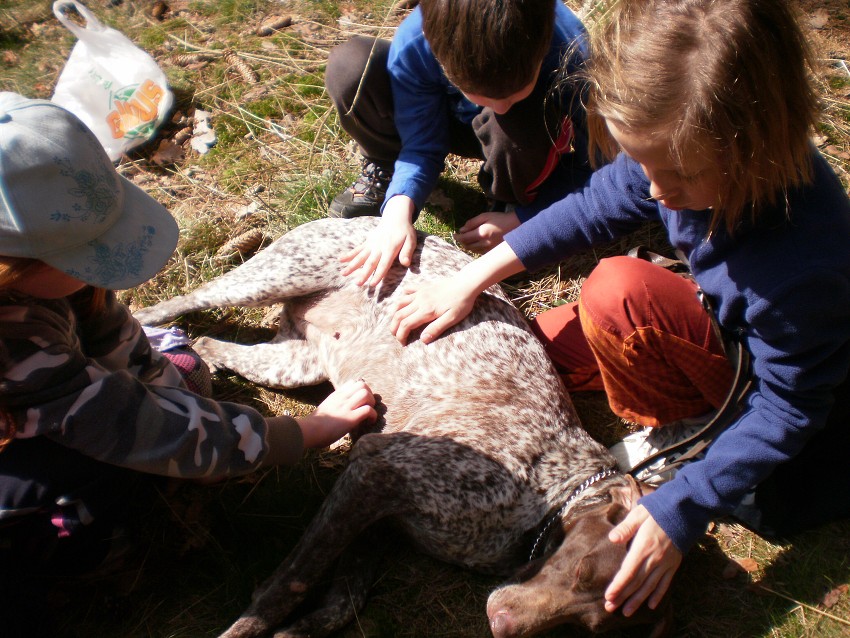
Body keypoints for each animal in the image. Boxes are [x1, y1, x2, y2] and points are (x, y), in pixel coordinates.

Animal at [134, 219, 668, 638]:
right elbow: (291, 582)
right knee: (179, 301)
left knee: (211, 343)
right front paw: (246, 629)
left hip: (291, 363)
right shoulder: (375, 475)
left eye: (587, 625)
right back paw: (140, 327)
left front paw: (295, 631)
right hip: (270, 278)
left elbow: (341, 602)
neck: (546, 495)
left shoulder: (379, 519)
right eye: (582, 572)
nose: (500, 626)